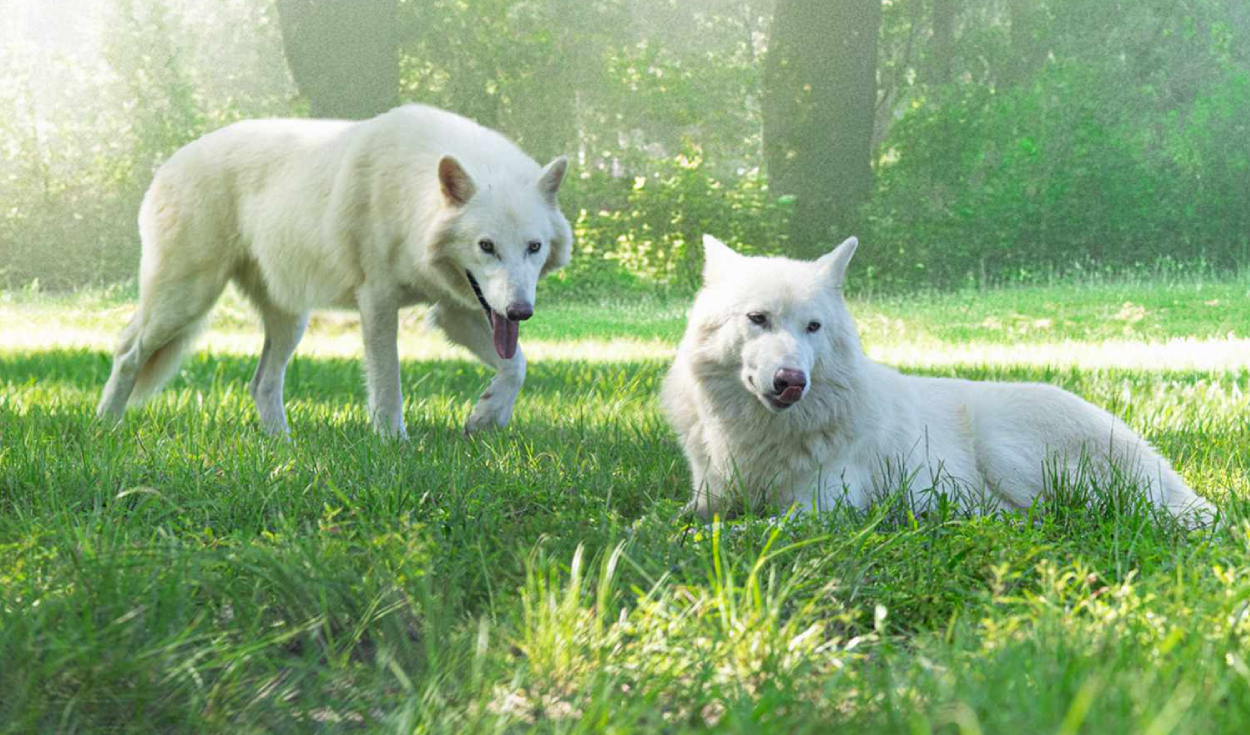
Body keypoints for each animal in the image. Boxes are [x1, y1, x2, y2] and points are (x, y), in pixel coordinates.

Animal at [97, 104, 572, 437]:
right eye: (486, 247)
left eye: (533, 247)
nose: (520, 312)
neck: (411, 199)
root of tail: (169, 163)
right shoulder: (378, 301)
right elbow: (388, 382)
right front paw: (393, 441)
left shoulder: (457, 312)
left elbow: (517, 365)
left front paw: (487, 416)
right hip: (185, 301)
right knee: (127, 351)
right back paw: (105, 427)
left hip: (289, 322)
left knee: (261, 384)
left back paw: (282, 446)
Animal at [662, 235, 1215, 525]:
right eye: (757, 319)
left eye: (812, 327)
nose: (792, 381)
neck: (761, 436)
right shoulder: (707, 496)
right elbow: (670, 517)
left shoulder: (821, 508)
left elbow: (747, 530)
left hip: (1007, 451)